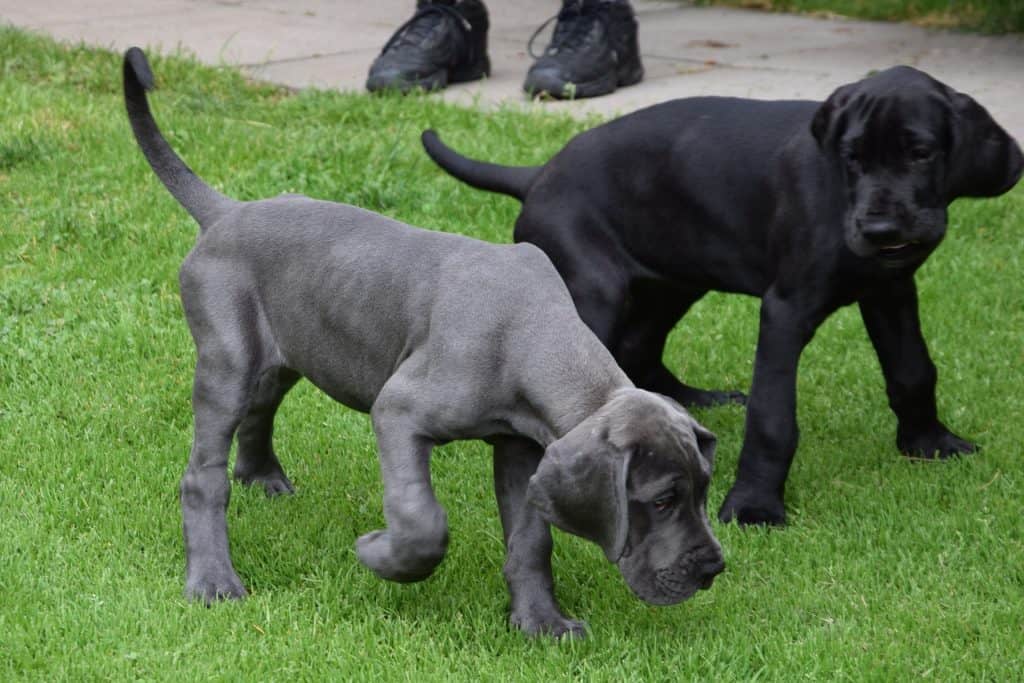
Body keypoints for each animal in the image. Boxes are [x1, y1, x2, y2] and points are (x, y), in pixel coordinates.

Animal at [123, 49, 724, 643]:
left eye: (704, 489)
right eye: (661, 500)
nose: (713, 570)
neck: (534, 334)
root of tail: (226, 213)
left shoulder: (522, 448)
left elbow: (532, 540)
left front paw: (540, 622)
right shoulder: (399, 411)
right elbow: (421, 519)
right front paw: (379, 555)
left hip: (287, 347)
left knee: (262, 406)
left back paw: (261, 477)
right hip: (227, 357)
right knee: (203, 476)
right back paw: (213, 580)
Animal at [419, 66, 1019, 528]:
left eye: (921, 153)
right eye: (852, 157)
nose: (879, 228)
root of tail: (539, 175)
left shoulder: (891, 290)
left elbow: (913, 369)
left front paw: (929, 442)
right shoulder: (786, 309)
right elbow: (774, 417)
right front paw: (754, 507)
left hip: (675, 280)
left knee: (639, 349)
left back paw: (690, 402)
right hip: (594, 289)